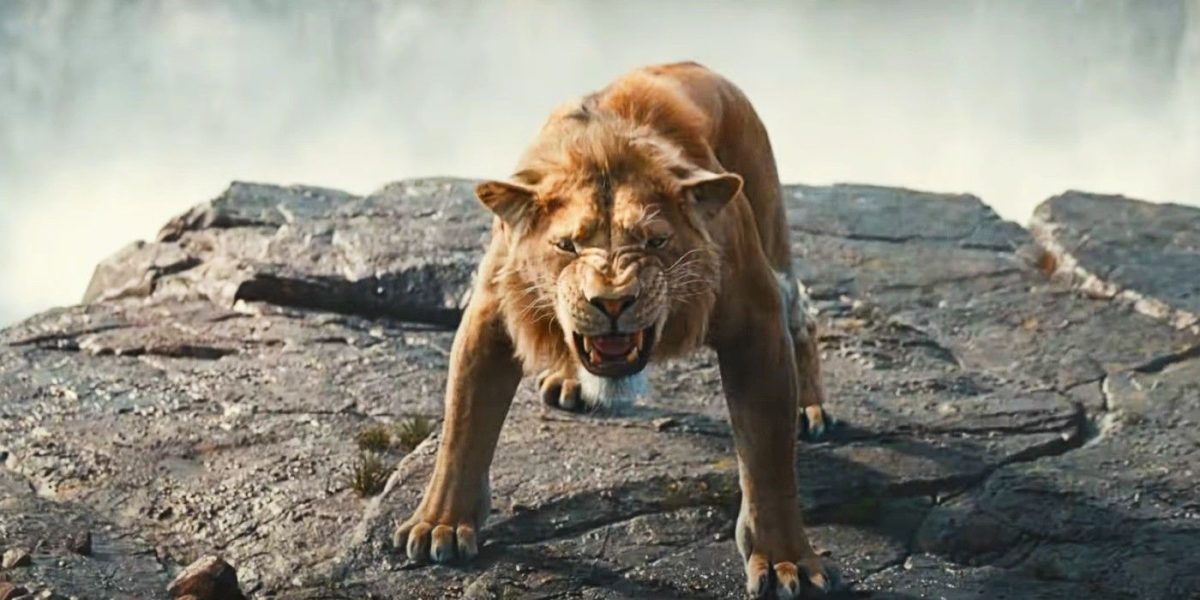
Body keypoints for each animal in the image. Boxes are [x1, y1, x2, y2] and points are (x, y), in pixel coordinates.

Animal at [394, 62, 831, 598]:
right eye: (567, 245)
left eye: (655, 241)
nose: (612, 301)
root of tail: (699, 66)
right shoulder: (492, 313)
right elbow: (462, 428)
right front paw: (439, 524)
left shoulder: (756, 323)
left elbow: (768, 460)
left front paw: (786, 560)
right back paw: (567, 381)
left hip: (770, 224)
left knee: (802, 313)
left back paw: (809, 409)